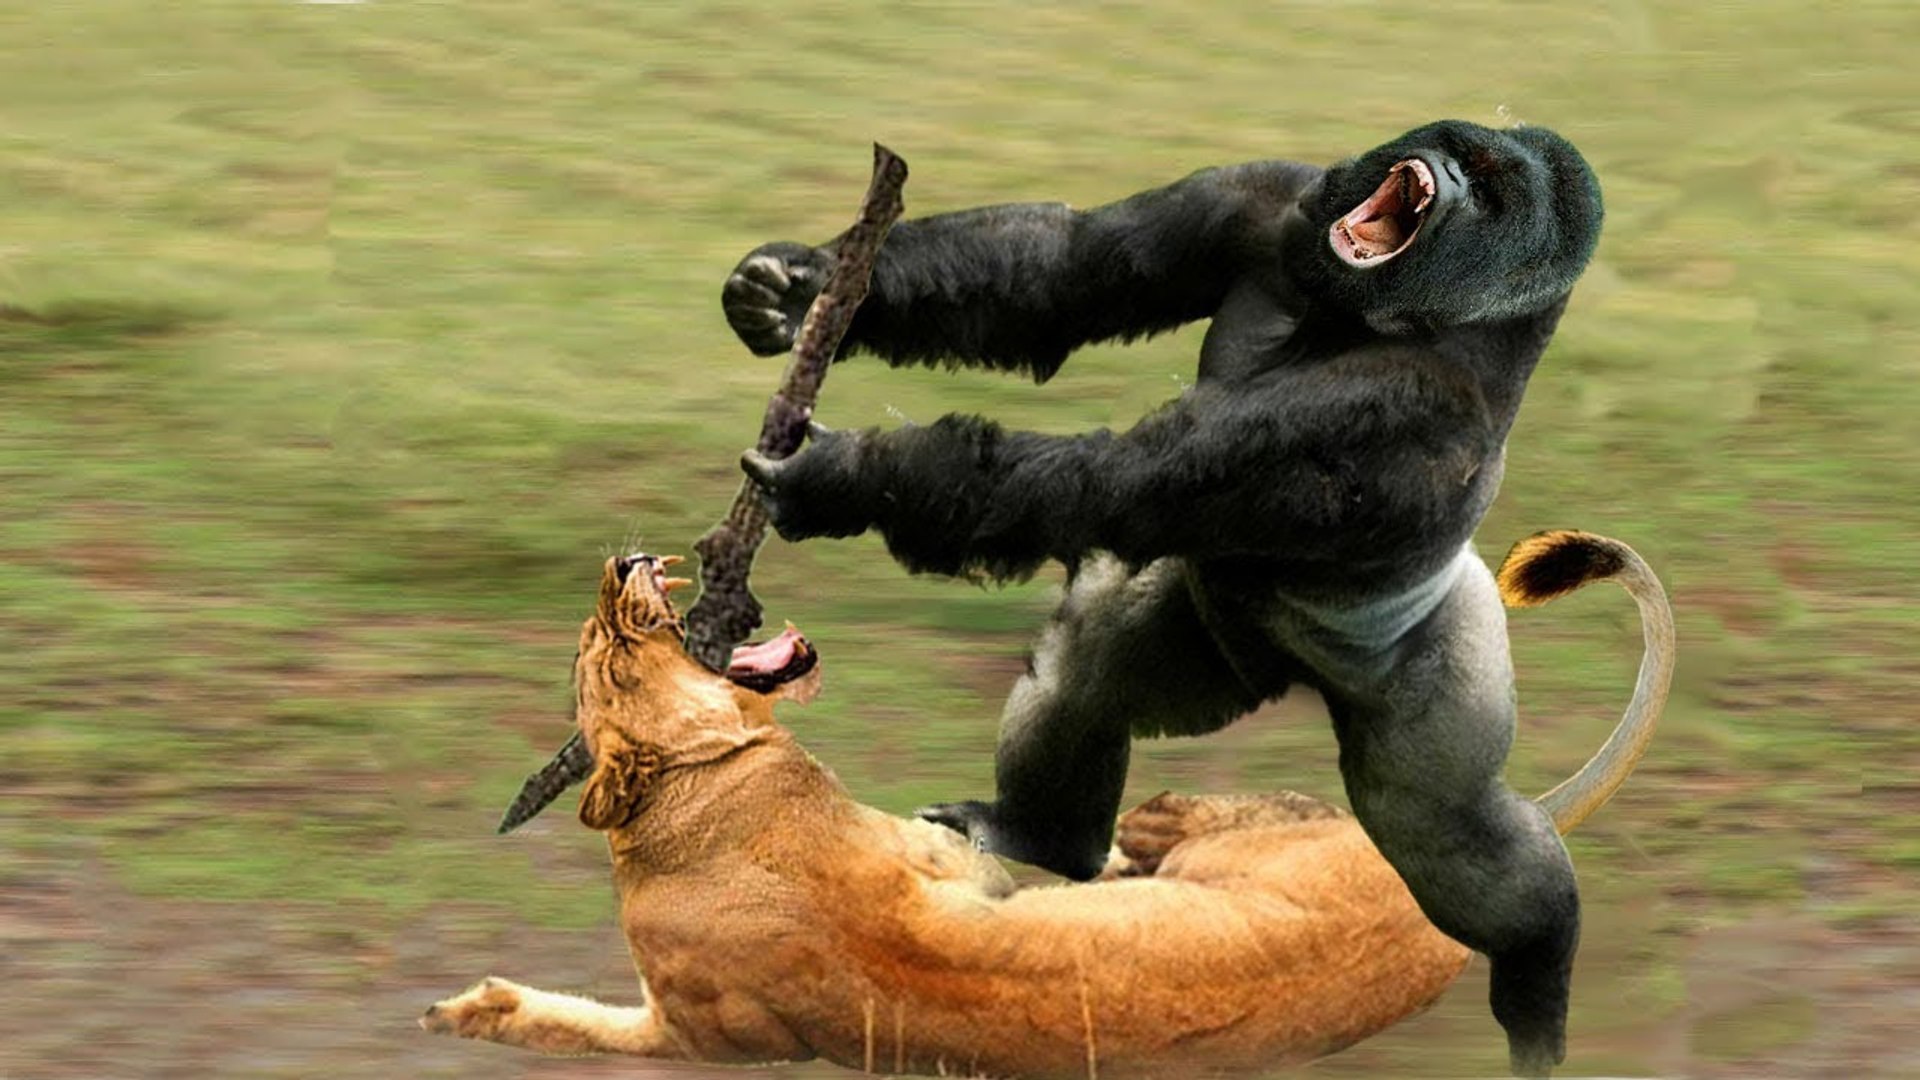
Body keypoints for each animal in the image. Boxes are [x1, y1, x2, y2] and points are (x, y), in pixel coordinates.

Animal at [722, 120, 1606, 1076]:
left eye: (1491, 191)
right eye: (1465, 155)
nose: (1443, 172)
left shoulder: (1395, 399)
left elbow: (1120, 479)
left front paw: (848, 478)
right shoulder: (1270, 194)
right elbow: (1067, 276)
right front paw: (802, 282)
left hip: (1443, 642)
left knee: (1443, 830)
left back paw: (1541, 970)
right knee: (1088, 667)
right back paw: (1040, 835)